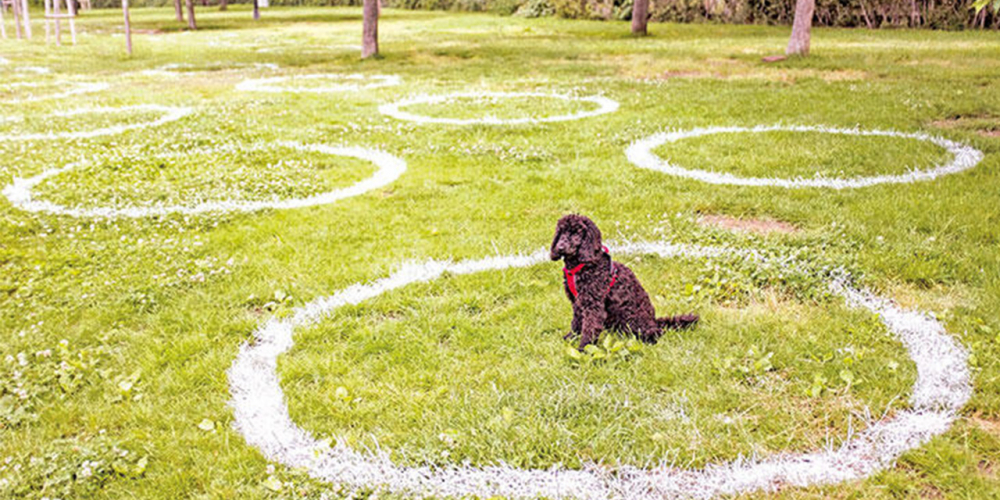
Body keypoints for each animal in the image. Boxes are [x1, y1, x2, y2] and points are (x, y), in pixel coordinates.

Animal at [552, 214, 700, 348]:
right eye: (561, 232)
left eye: (577, 233)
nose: (560, 247)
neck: (582, 266)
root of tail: (654, 321)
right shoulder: (578, 303)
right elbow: (576, 323)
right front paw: (570, 338)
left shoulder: (593, 306)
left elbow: (590, 328)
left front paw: (584, 348)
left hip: (633, 320)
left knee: (656, 333)